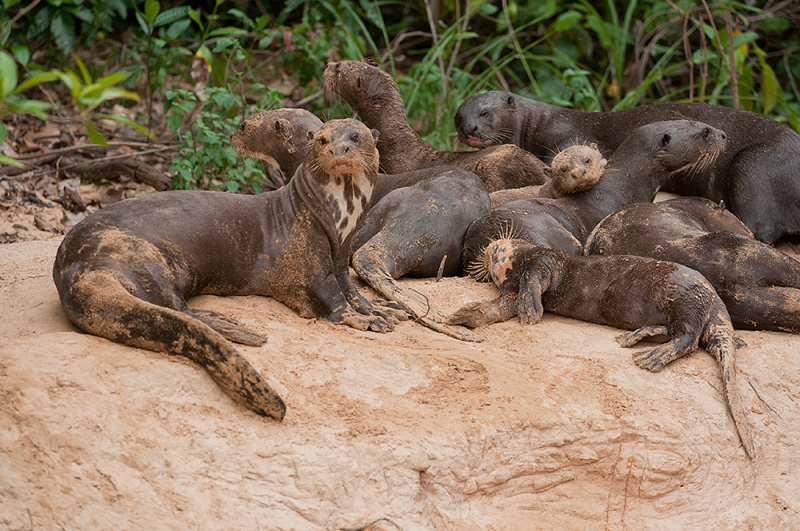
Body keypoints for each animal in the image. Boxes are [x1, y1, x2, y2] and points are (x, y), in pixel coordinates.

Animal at [52, 119, 404, 420]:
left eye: (355, 136)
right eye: (322, 140)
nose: (339, 149)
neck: (338, 221)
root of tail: (75, 270)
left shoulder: (343, 256)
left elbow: (350, 288)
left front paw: (379, 307)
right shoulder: (306, 257)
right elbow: (331, 297)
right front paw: (365, 319)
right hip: (142, 255)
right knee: (174, 308)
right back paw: (234, 327)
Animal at [450, 239, 756, 460]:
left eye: (497, 248)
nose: (489, 247)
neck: (520, 263)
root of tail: (715, 298)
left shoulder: (548, 260)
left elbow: (532, 280)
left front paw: (530, 310)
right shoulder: (512, 289)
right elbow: (502, 306)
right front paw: (467, 314)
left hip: (685, 299)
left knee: (689, 338)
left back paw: (650, 357)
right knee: (678, 333)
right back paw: (635, 337)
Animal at [454, 90, 800, 242]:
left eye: (484, 112)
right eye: (458, 117)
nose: (469, 129)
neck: (542, 124)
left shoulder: (569, 136)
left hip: (754, 166)